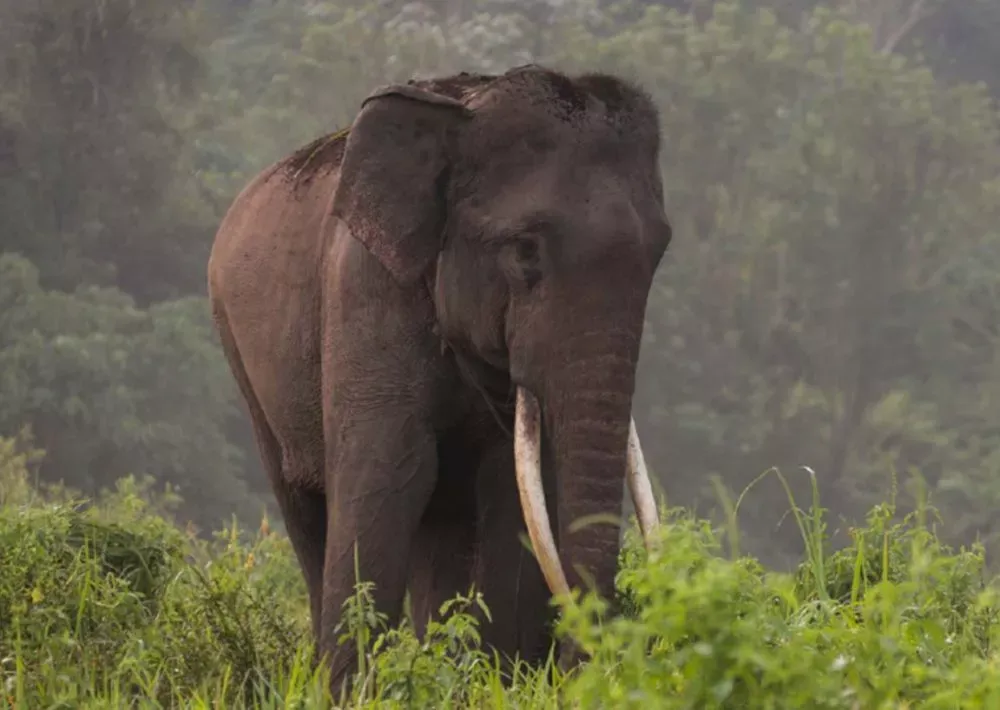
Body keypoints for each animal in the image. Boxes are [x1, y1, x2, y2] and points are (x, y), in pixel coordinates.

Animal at [205, 64, 672, 692]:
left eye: (658, 254)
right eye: (525, 251)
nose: (580, 670)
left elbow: (503, 487)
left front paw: (495, 681)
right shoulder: (365, 289)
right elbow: (390, 472)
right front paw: (355, 693)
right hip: (240, 350)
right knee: (303, 504)